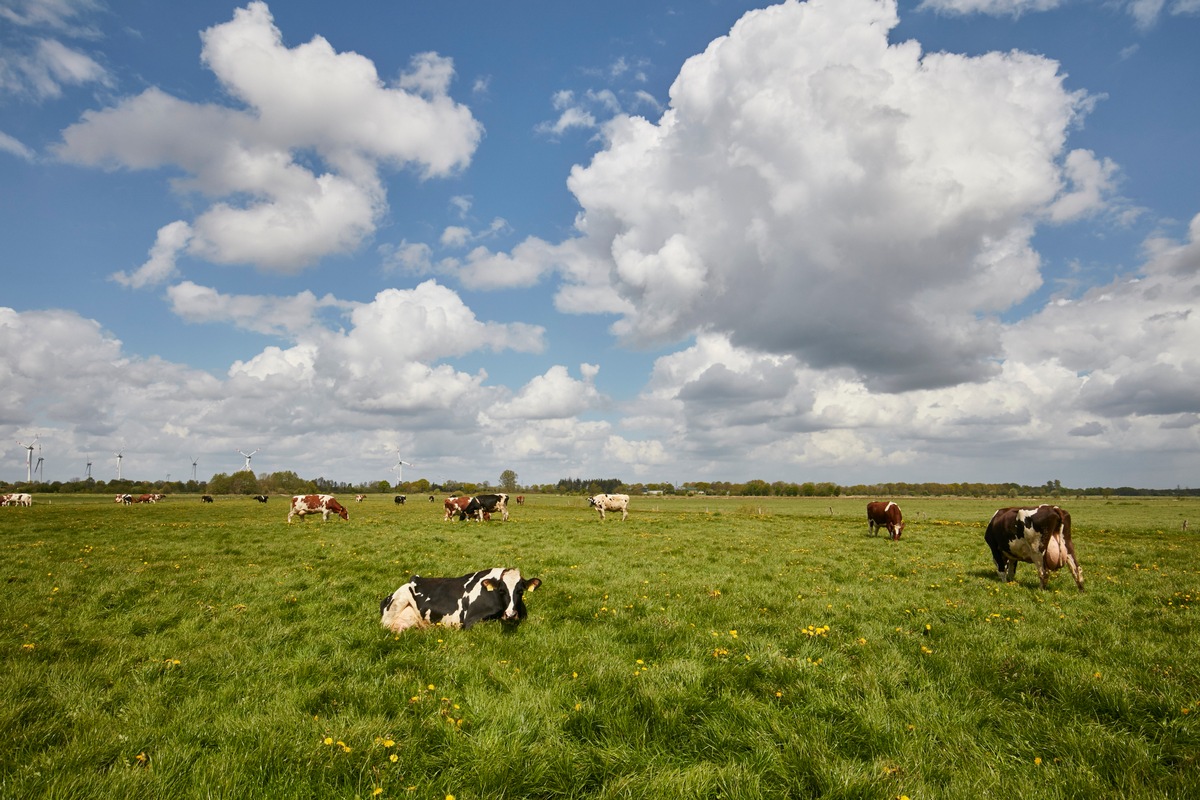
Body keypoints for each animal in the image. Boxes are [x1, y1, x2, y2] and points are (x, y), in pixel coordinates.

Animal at [379, 566, 544, 633]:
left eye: (520, 591)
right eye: (501, 590)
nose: (511, 614)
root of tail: (414, 578)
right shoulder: (470, 621)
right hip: (397, 603)